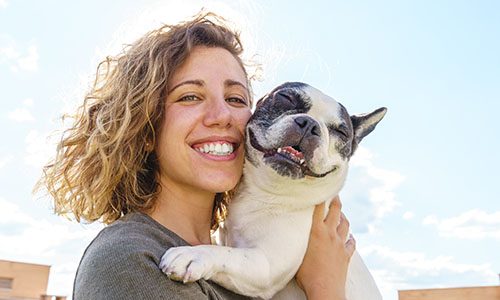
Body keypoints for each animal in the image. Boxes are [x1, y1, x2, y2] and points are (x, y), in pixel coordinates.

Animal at [160, 82, 386, 300]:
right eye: (286, 98)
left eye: (341, 132)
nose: (310, 124)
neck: (266, 192)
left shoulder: (267, 264)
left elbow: (227, 254)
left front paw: (193, 255)